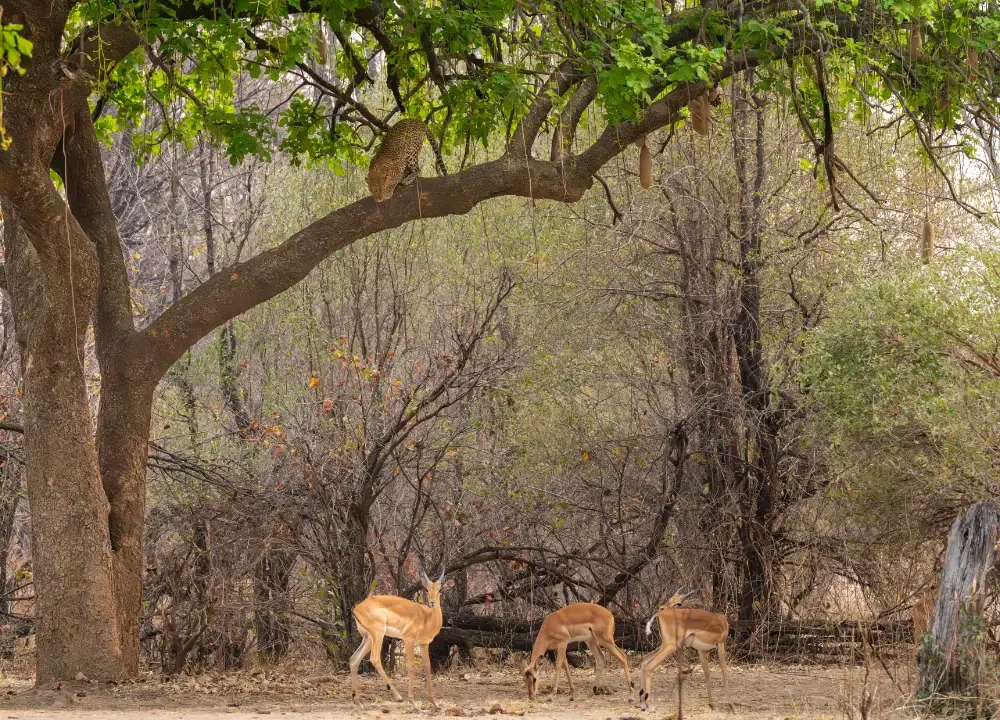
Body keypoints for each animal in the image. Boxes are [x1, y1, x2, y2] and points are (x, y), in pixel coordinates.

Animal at [350, 567, 452, 710]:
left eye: (440, 589)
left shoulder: (424, 644)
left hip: (368, 638)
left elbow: (427, 666)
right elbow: (411, 666)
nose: (432, 603)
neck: (427, 618)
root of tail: (356, 609)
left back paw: (358, 702)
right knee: (374, 659)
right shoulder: (409, 640)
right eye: (426, 589)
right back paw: (398, 697)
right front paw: (413, 703)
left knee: (354, 659)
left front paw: (434, 703)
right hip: (378, 634)